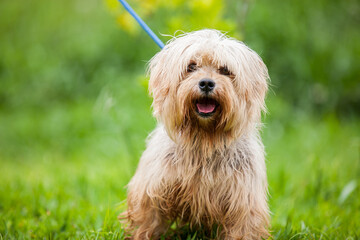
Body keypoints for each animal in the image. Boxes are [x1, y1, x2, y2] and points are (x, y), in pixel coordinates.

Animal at [122, 29, 268, 239]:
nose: (206, 83)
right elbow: (147, 221)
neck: (205, 140)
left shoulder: (243, 202)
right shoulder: (153, 190)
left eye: (225, 70)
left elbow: (242, 229)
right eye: (191, 67)